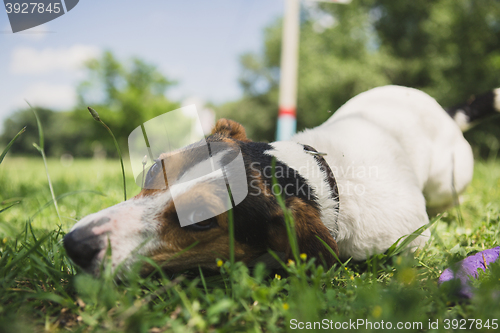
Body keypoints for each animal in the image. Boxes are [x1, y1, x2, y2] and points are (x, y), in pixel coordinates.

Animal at [63, 85, 500, 274]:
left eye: (201, 221)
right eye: (156, 169)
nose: (74, 244)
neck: (319, 172)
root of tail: (446, 112)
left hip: (449, 179)